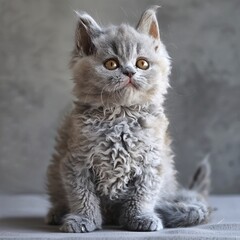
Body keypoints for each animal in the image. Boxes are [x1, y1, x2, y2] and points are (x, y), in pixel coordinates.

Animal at [46, 6, 211, 232]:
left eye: (142, 63)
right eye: (111, 64)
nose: (130, 72)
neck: (121, 117)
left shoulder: (151, 163)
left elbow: (142, 196)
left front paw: (140, 217)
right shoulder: (75, 163)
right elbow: (82, 196)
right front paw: (83, 219)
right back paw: (57, 213)